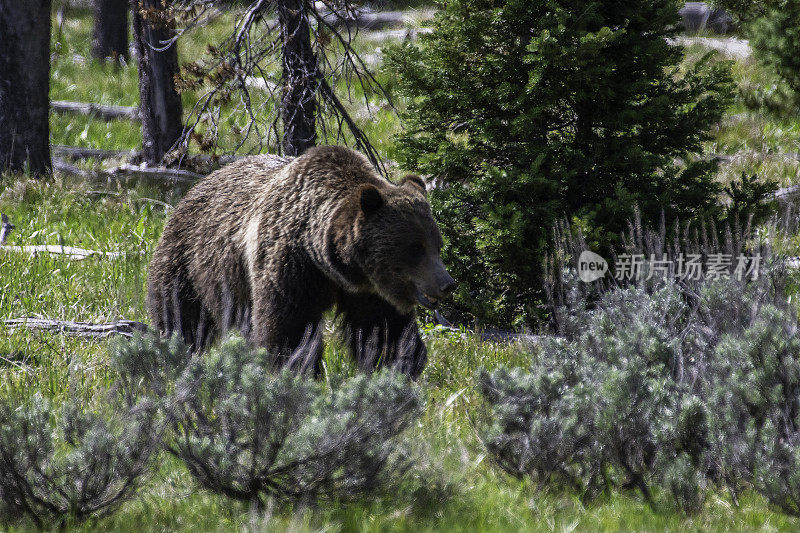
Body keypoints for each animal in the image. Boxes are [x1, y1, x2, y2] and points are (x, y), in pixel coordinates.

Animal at [146, 145, 454, 376]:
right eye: (415, 247)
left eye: (437, 245)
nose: (447, 284)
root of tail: (196, 185)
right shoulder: (290, 266)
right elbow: (288, 327)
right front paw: (296, 368)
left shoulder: (370, 291)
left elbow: (383, 331)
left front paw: (398, 365)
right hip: (189, 261)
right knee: (180, 313)